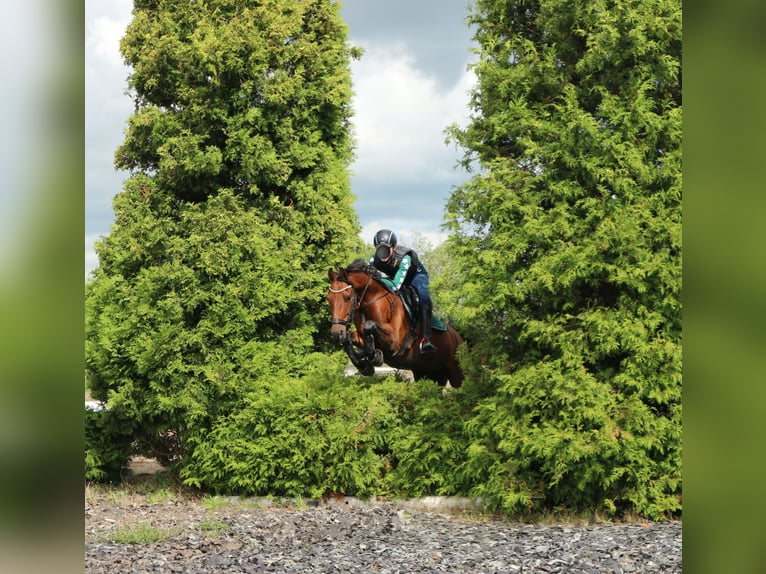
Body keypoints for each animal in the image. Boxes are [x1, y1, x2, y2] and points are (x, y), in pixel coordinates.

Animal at [328, 260, 464, 388]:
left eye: (347, 298)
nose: (336, 332)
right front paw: (363, 365)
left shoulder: (395, 341)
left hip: (458, 374)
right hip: (429, 374)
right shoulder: (360, 337)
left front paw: (374, 356)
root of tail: (458, 337)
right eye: (328, 299)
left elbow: (369, 325)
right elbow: (348, 339)